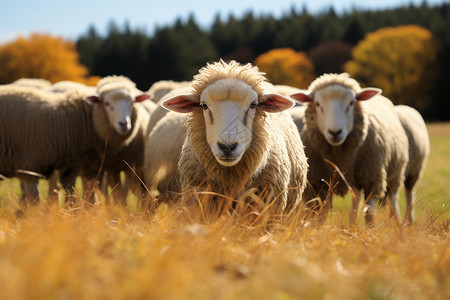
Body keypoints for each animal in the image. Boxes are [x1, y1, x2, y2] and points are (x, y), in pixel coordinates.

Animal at [290, 72, 410, 225]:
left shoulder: (371, 179)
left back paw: (398, 226)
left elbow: (369, 214)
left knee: (393, 202)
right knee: (355, 201)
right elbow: (320, 217)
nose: (335, 132)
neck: (341, 159)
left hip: (395, 174)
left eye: (351, 103)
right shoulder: (318, 184)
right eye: (317, 104)